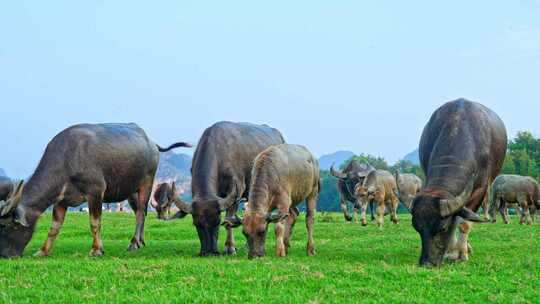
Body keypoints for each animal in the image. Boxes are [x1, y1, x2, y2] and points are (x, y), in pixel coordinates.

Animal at [0, 122, 192, 258]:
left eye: (5, 226)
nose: (5, 255)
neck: (68, 159)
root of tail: (152, 143)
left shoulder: (96, 193)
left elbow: (94, 222)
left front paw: (96, 250)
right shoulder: (61, 200)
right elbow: (54, 227)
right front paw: (43, 251)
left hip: (147, 182)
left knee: (140, 213)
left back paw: (133, 243)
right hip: (130, 190)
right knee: (141, 211)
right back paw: (141, 241)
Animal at [173, 121, 284, 256]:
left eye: (217, 222)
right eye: (196, 224)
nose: (209, 251)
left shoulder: (235, 192)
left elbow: (229, 221)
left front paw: (230, 248)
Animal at [412, 99, 508, 266]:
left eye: (442, 229)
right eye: (417, 228)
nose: (427, 263)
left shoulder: (480, 190)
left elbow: (464, 223)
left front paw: (461, 253)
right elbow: (456, 219)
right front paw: (451, 251)